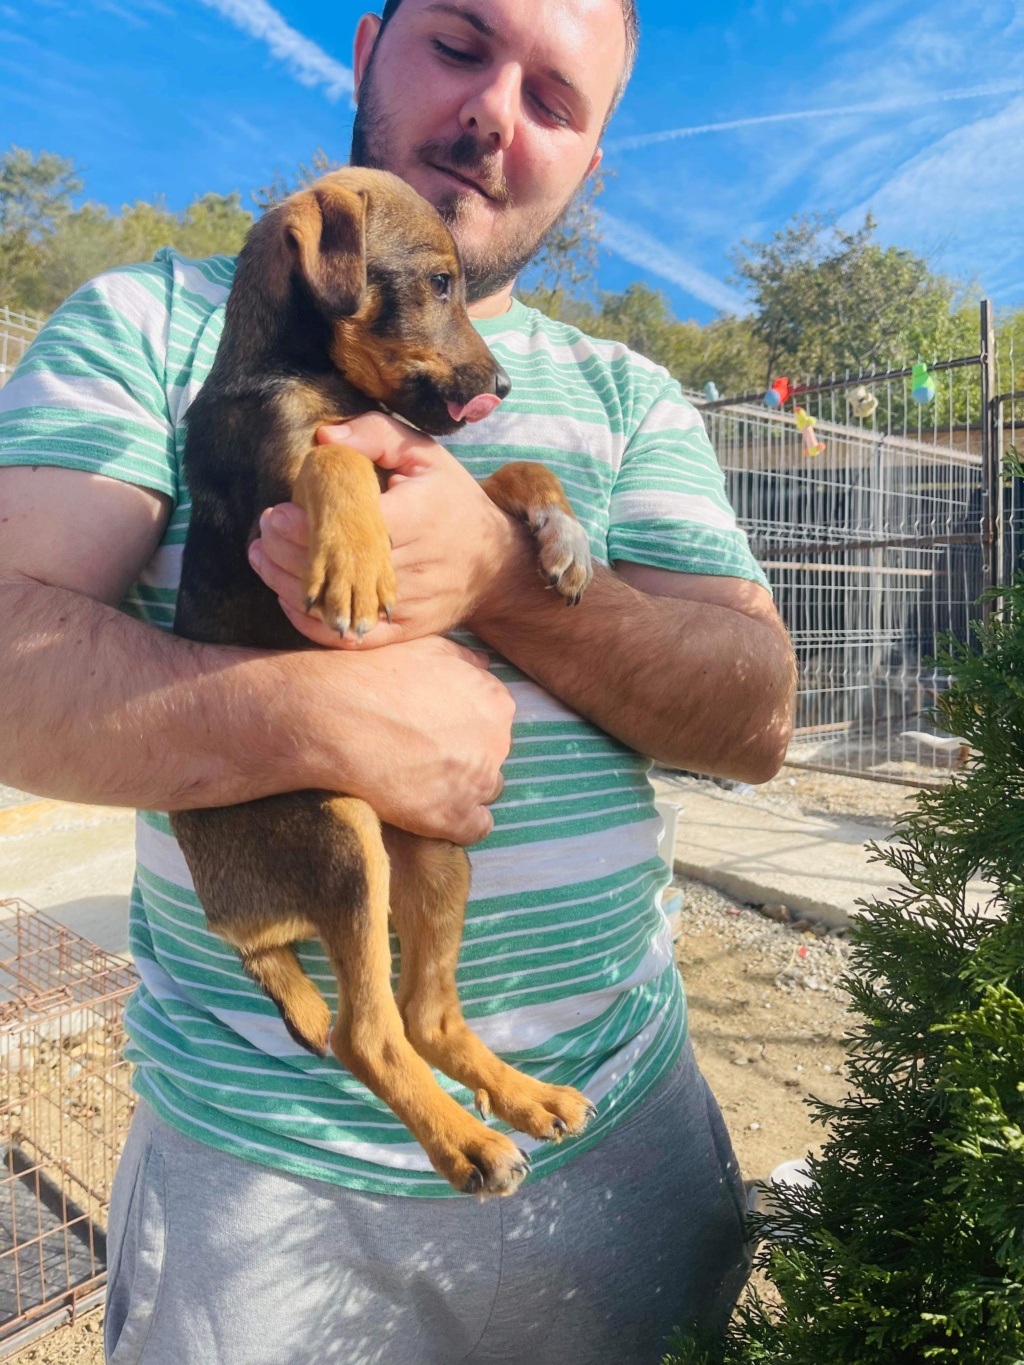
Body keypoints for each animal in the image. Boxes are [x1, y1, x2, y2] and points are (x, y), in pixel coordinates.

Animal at [173, 167, 598, 1195]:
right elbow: (334, 455)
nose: (503, 388)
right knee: (368, 1033)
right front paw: (356, 558)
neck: (303, 367)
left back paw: (521, 1099)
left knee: (424, 1019)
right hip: (340, 835)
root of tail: (238, 919)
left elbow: (510, 469)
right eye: (440, 282)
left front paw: (563, 539)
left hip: (434, 855)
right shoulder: (279, 477)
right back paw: (469, 1143)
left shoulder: (433, 473)